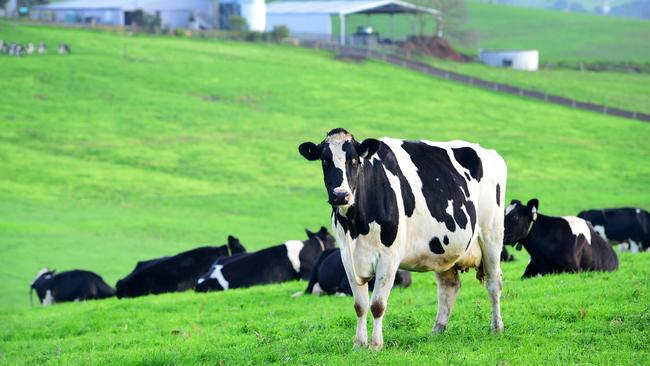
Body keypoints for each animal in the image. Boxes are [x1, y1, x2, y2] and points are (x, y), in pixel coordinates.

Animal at [298, 128, 506, 348]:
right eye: (324, 160)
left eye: (354, 160)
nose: (340, 195)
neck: (356, 227)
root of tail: (490, 153)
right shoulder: (348, 257)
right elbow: (360, 305)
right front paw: (359, 344)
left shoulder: (389, 257)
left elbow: (377, 305)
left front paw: (375, 345)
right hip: (444, 247)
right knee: (449, 287)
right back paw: (437, 331)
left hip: (491, 236)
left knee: (494, 283)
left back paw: (497, 328)